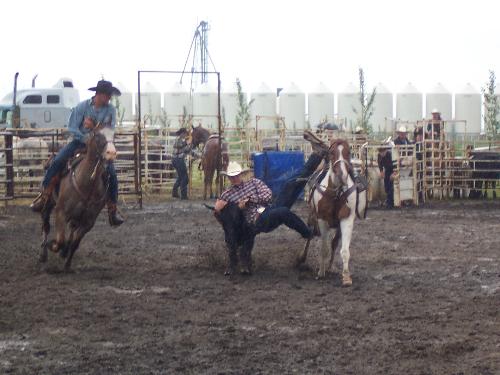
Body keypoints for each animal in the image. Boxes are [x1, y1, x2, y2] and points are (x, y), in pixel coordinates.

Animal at [39, 125, 116, 270]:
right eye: (98, 136)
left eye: (114, 135)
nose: (112, 153)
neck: (86, 184)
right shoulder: (61, 212)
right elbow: (60, 240)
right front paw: (52, 245)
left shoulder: (88, 222)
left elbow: (75, 243)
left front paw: (67, 265)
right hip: (49, 203)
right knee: (46, 225)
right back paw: (43, 255)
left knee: (71, 231)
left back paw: (63, 253)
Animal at [296, 140, 368, 286]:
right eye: (332, 153)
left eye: (348, 153)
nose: (342, 175)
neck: (336, 193)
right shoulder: (322, 220)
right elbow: (324, 248)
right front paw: (321, 272)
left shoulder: (346, 219)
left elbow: (344, 250)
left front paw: (346, 277)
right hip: (312, 217)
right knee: (309, 234)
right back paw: (303, 258)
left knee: (334, 243)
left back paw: (330, 267)